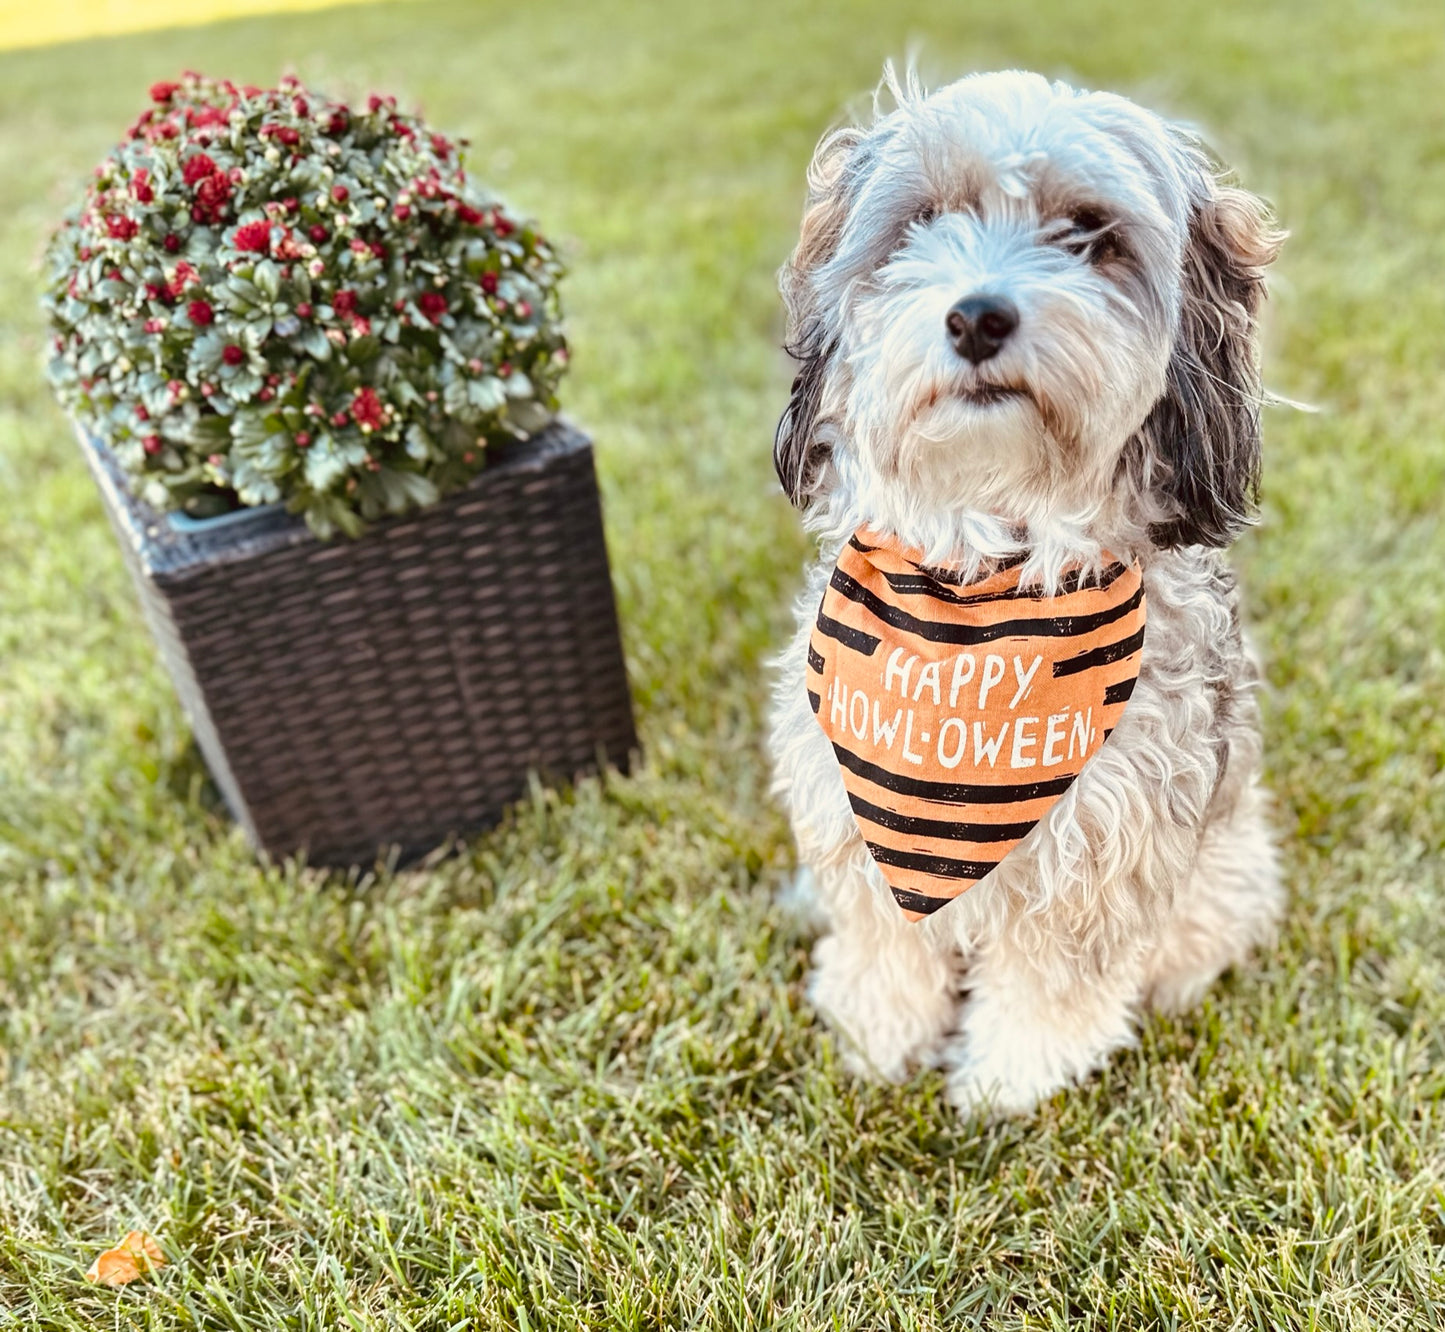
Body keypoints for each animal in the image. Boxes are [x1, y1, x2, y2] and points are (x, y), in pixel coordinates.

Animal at [768, 67, 1288, 1115]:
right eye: (921, 221)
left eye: (1087, 233)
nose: (976, 316)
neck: (987, 566)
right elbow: (884, 948)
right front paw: (873, 1041)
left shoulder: (1105, 849)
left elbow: (1052, 985)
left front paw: (1007, 1087)